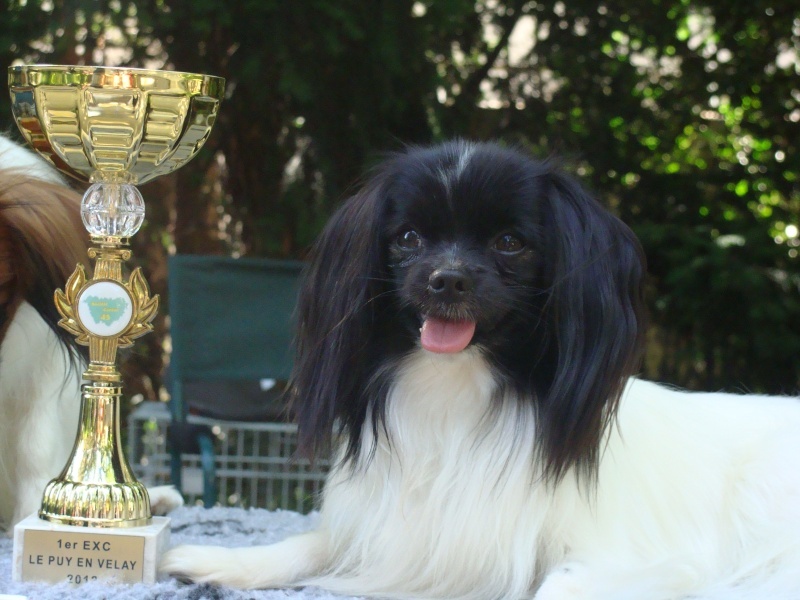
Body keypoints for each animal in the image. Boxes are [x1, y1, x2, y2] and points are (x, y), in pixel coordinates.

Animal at [162, 141, 800, 599]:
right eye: (409, 238)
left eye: (510, 242)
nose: (447, 279)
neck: (457, 393)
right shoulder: (388, 529)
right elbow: (312, 543)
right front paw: (218, 562)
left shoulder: (627, 559)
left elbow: (555, 588)